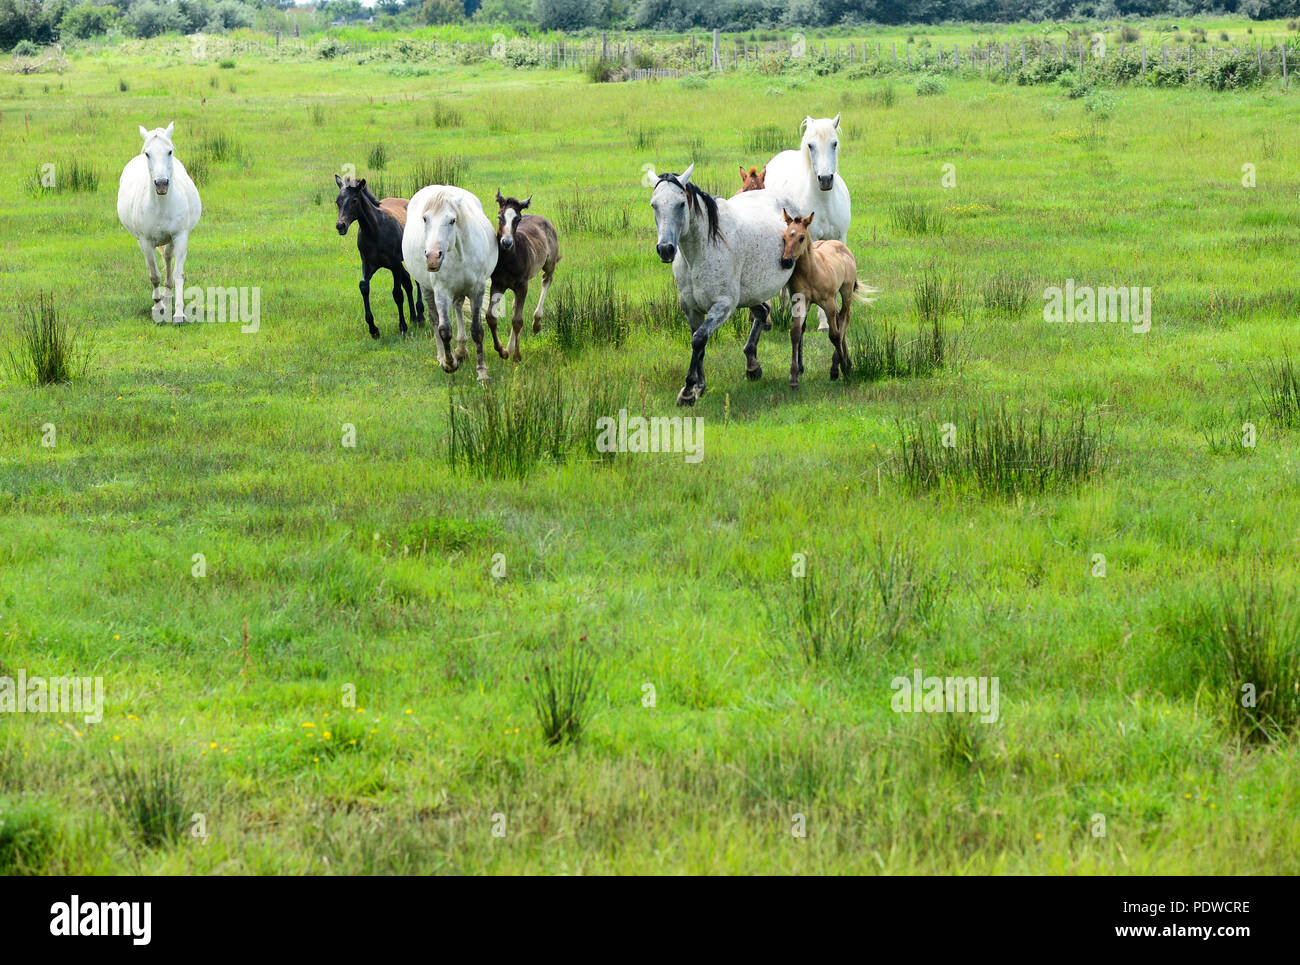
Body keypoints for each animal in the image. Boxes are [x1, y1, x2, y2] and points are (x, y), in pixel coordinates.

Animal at [332, 174, 423, 340]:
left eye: (354, 200)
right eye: (337, 201)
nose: (340, 226)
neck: (375, 231)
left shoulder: (394, 264)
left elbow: (397, 294)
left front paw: (402, 326)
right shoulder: (368, 264)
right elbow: (364, 287)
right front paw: (373, 329)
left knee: (416, 280)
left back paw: (420, 316)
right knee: (407, 281)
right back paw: (413, 317)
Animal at [400, 183, 496, 379]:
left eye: (452, 220)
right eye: (425, 219)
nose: (432, 257)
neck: (460, 254)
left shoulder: (477, 290)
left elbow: (477, 330)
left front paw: (482, 372)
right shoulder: (441, 292)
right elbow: (444, 330)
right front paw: (449, 363)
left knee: (458, 306)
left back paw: (461, 349)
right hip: (427, 289)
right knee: (434, 319)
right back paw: (442, 356)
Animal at [650, 164, 790, 405]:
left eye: (681, 204)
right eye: (654, 205)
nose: (666, 249)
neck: (701, 251)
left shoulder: (723, 306)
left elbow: (698, 340)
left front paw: (687, 390)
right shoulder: (691, 309)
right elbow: (699, 342)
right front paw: (698, 387)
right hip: (750, 294)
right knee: (763, 311)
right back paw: (752, 366)